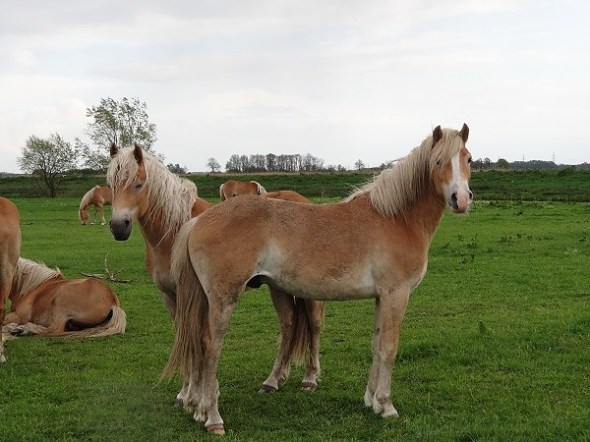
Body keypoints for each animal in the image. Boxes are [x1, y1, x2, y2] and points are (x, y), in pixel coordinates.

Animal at [106, 144, 324, 400]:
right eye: (110, 184)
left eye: (138, 184)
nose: (118, 227)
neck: (177, 231)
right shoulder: (169, 295)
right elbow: (184, 336)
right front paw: (185, 393)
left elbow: (197, 337)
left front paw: (193, 392)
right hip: (279, 287)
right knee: (289, 324)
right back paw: (274, 380)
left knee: (314, 325)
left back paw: (309, 378)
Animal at [165, 124, 473, 434]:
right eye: (438, 161)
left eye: (468, 159)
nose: (461, 199)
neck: (396, 218)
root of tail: (198, 221)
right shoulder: (396, 295)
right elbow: (389, 348)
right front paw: (386, 406)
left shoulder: (381, 298)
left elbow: (376, 345)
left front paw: (371, 401)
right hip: (223, 298)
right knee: (211, 346)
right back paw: (214, 418)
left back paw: (200, 411)